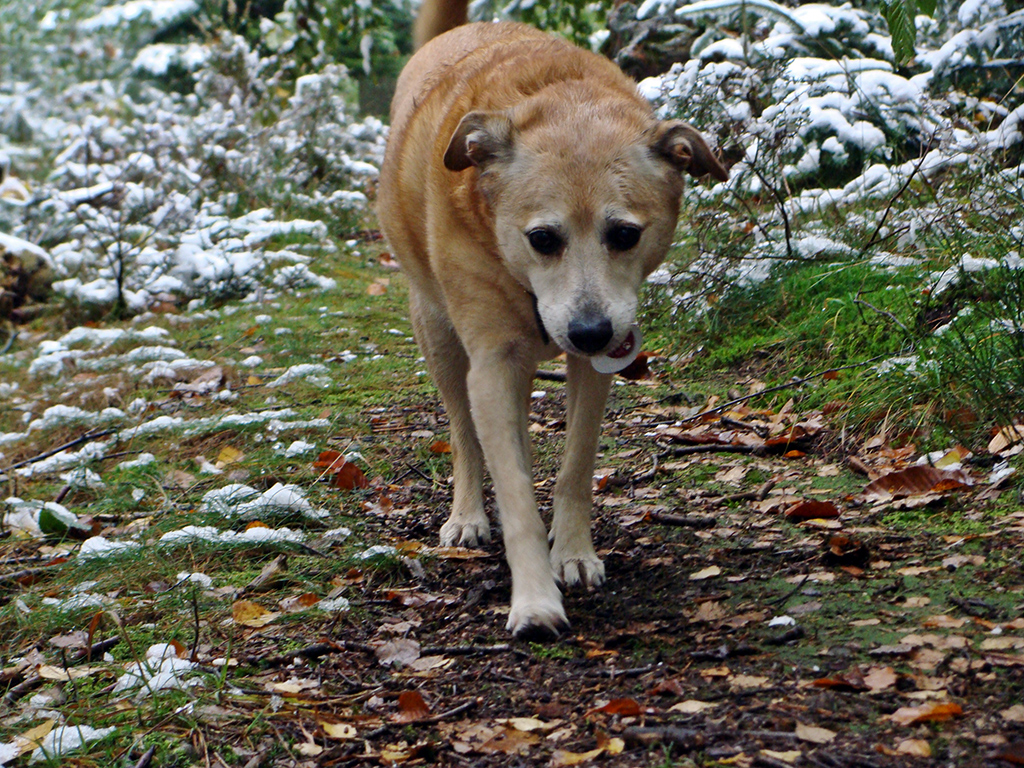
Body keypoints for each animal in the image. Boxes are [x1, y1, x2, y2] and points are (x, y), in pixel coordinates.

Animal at [378, 1, 729, 638]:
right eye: (542, 238)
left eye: (625, 234)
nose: (591, 333)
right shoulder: (491, 362)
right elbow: (513, 488)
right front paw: (536, 599)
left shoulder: (591, 368)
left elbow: (574, 465)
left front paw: (572, 553)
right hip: (438, 332)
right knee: (464, 432)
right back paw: (468, 514)